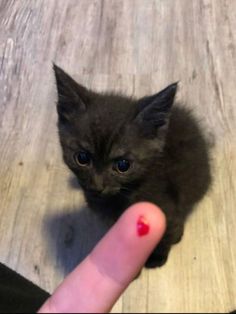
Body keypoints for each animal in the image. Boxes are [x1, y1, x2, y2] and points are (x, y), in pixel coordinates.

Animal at [54, 63, 212, 268]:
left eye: (123, 165)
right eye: (82, 158)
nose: (97, 186)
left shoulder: (168, 208)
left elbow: (168, 232)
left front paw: (157, 258)